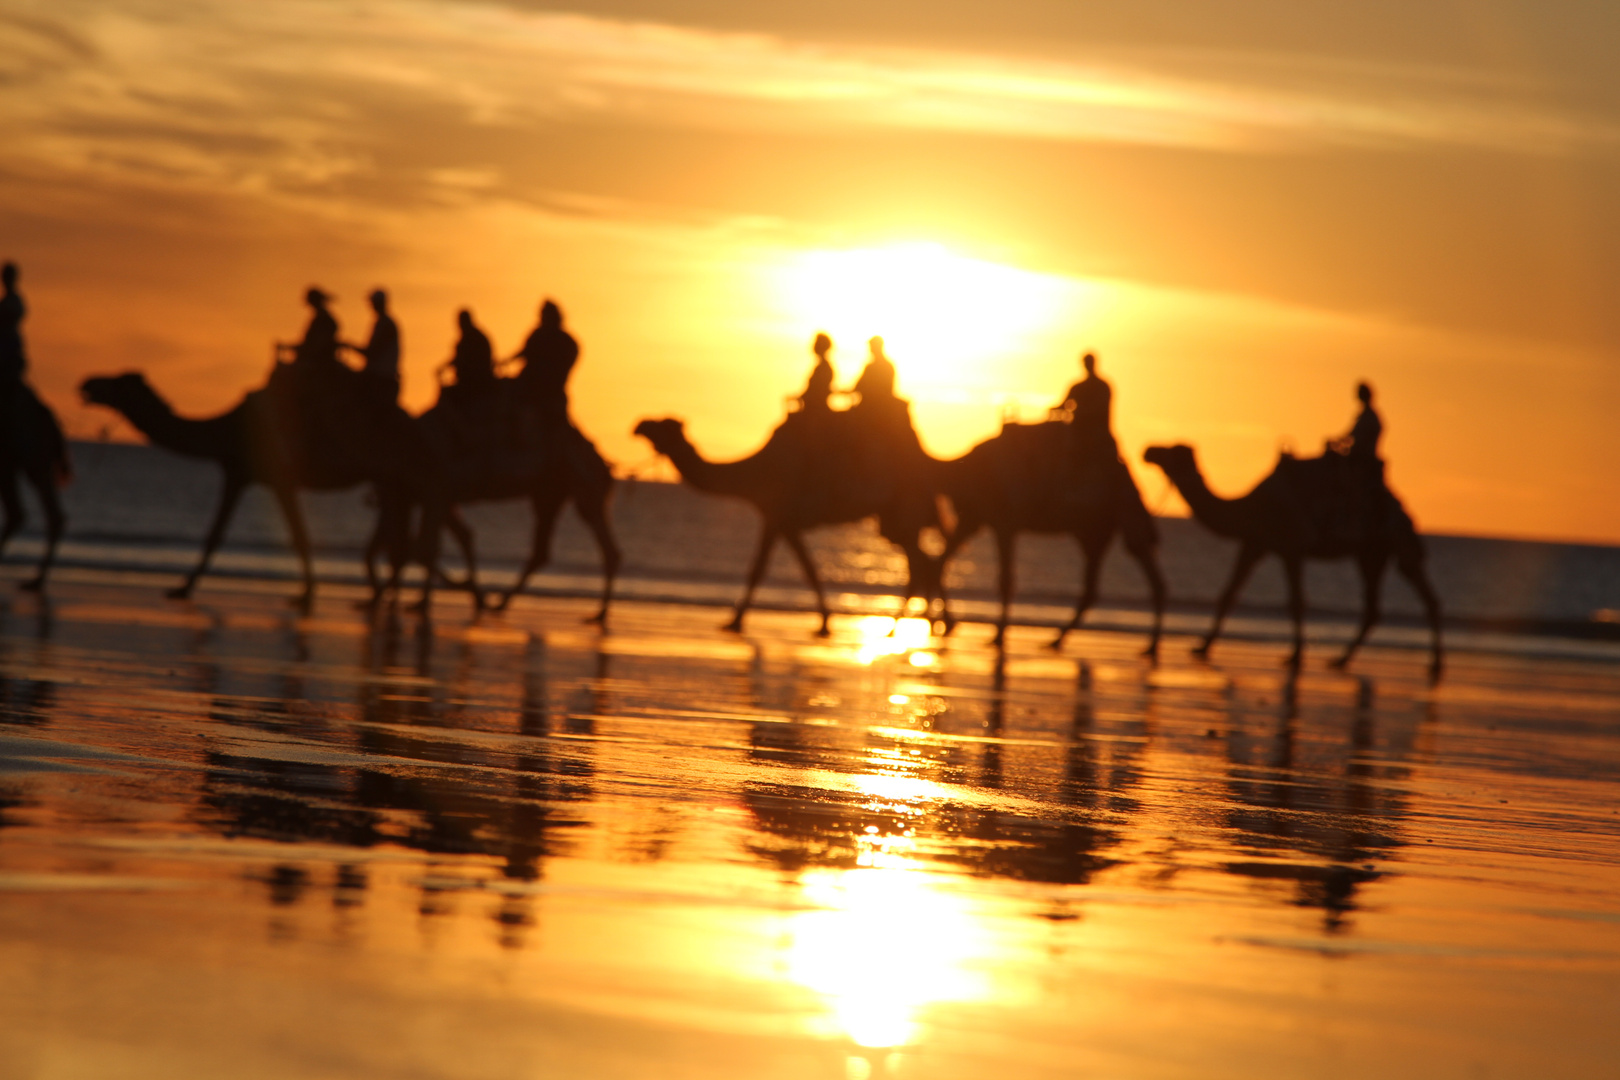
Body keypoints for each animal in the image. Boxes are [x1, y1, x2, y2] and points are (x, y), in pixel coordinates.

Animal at [628, 414, 939, 634]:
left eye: (662, 425)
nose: (638, 425)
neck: (756, 470)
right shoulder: (786, 523)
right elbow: (808, 569)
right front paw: (824, 622)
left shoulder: (775, 515)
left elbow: (759, 569)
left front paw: (734, 621)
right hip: (897, 516)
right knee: (923, 562)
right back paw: (919, 625)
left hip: (903, 510)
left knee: (921, 564)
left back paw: (901, 627)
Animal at [926, 424, 1166, 660]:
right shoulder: (971, 519)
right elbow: (939, 564)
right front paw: (948, 624)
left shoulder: (1005, 523)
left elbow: (1005, 581)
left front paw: (997, 636)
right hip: (1095, 531)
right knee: (1094, 587)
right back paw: (1056, 641)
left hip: (1121, 513)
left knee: (1144, 565)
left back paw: (1151, 646)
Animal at [1140, 440, 1445, 676]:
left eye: (1170, 449)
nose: (1148, 450)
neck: (1249, 506)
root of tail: (1404, 512)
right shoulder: (1254, 543)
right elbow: (1228, 594)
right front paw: (1201, 647)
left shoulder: (1291, 547)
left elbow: (1296, 601)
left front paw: (1295, 656)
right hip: (1372, 553)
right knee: (1377, 607)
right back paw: (1341, 660)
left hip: (1391, 542)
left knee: (1419, 594)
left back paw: (1434, 664)